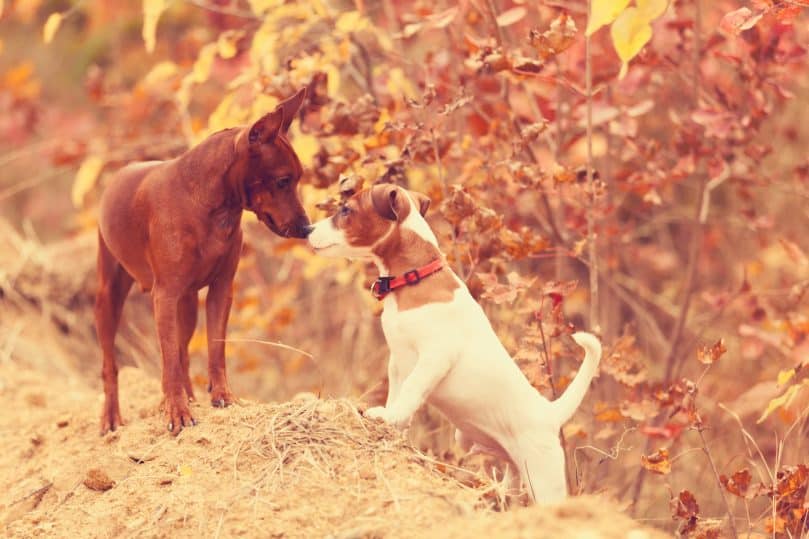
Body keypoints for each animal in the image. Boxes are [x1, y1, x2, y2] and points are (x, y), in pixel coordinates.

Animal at [95, 87, 310, 434]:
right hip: (109, 299)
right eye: (282, 181)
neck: (212, 208)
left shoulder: (220, 290)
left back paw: (186, 398)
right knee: (111, 366)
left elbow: (213, 349)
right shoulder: (164, 296)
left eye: (298, 178)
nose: (306, 228)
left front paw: (221, 396)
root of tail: (120, 174)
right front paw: (177, 412)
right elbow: (168, 361)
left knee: (182, 353)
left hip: (187, 305)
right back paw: (112, 417)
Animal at [308, 185, 600, 502]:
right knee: (511, 476)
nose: (307, 229)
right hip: (495, 453)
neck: (414, 279)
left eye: (346, 210)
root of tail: (550, 413)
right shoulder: (397, 362)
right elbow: (399, 394)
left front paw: (389, 417)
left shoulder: (435, 356)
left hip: (543, 478)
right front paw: (392, 422)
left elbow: (411, 389)